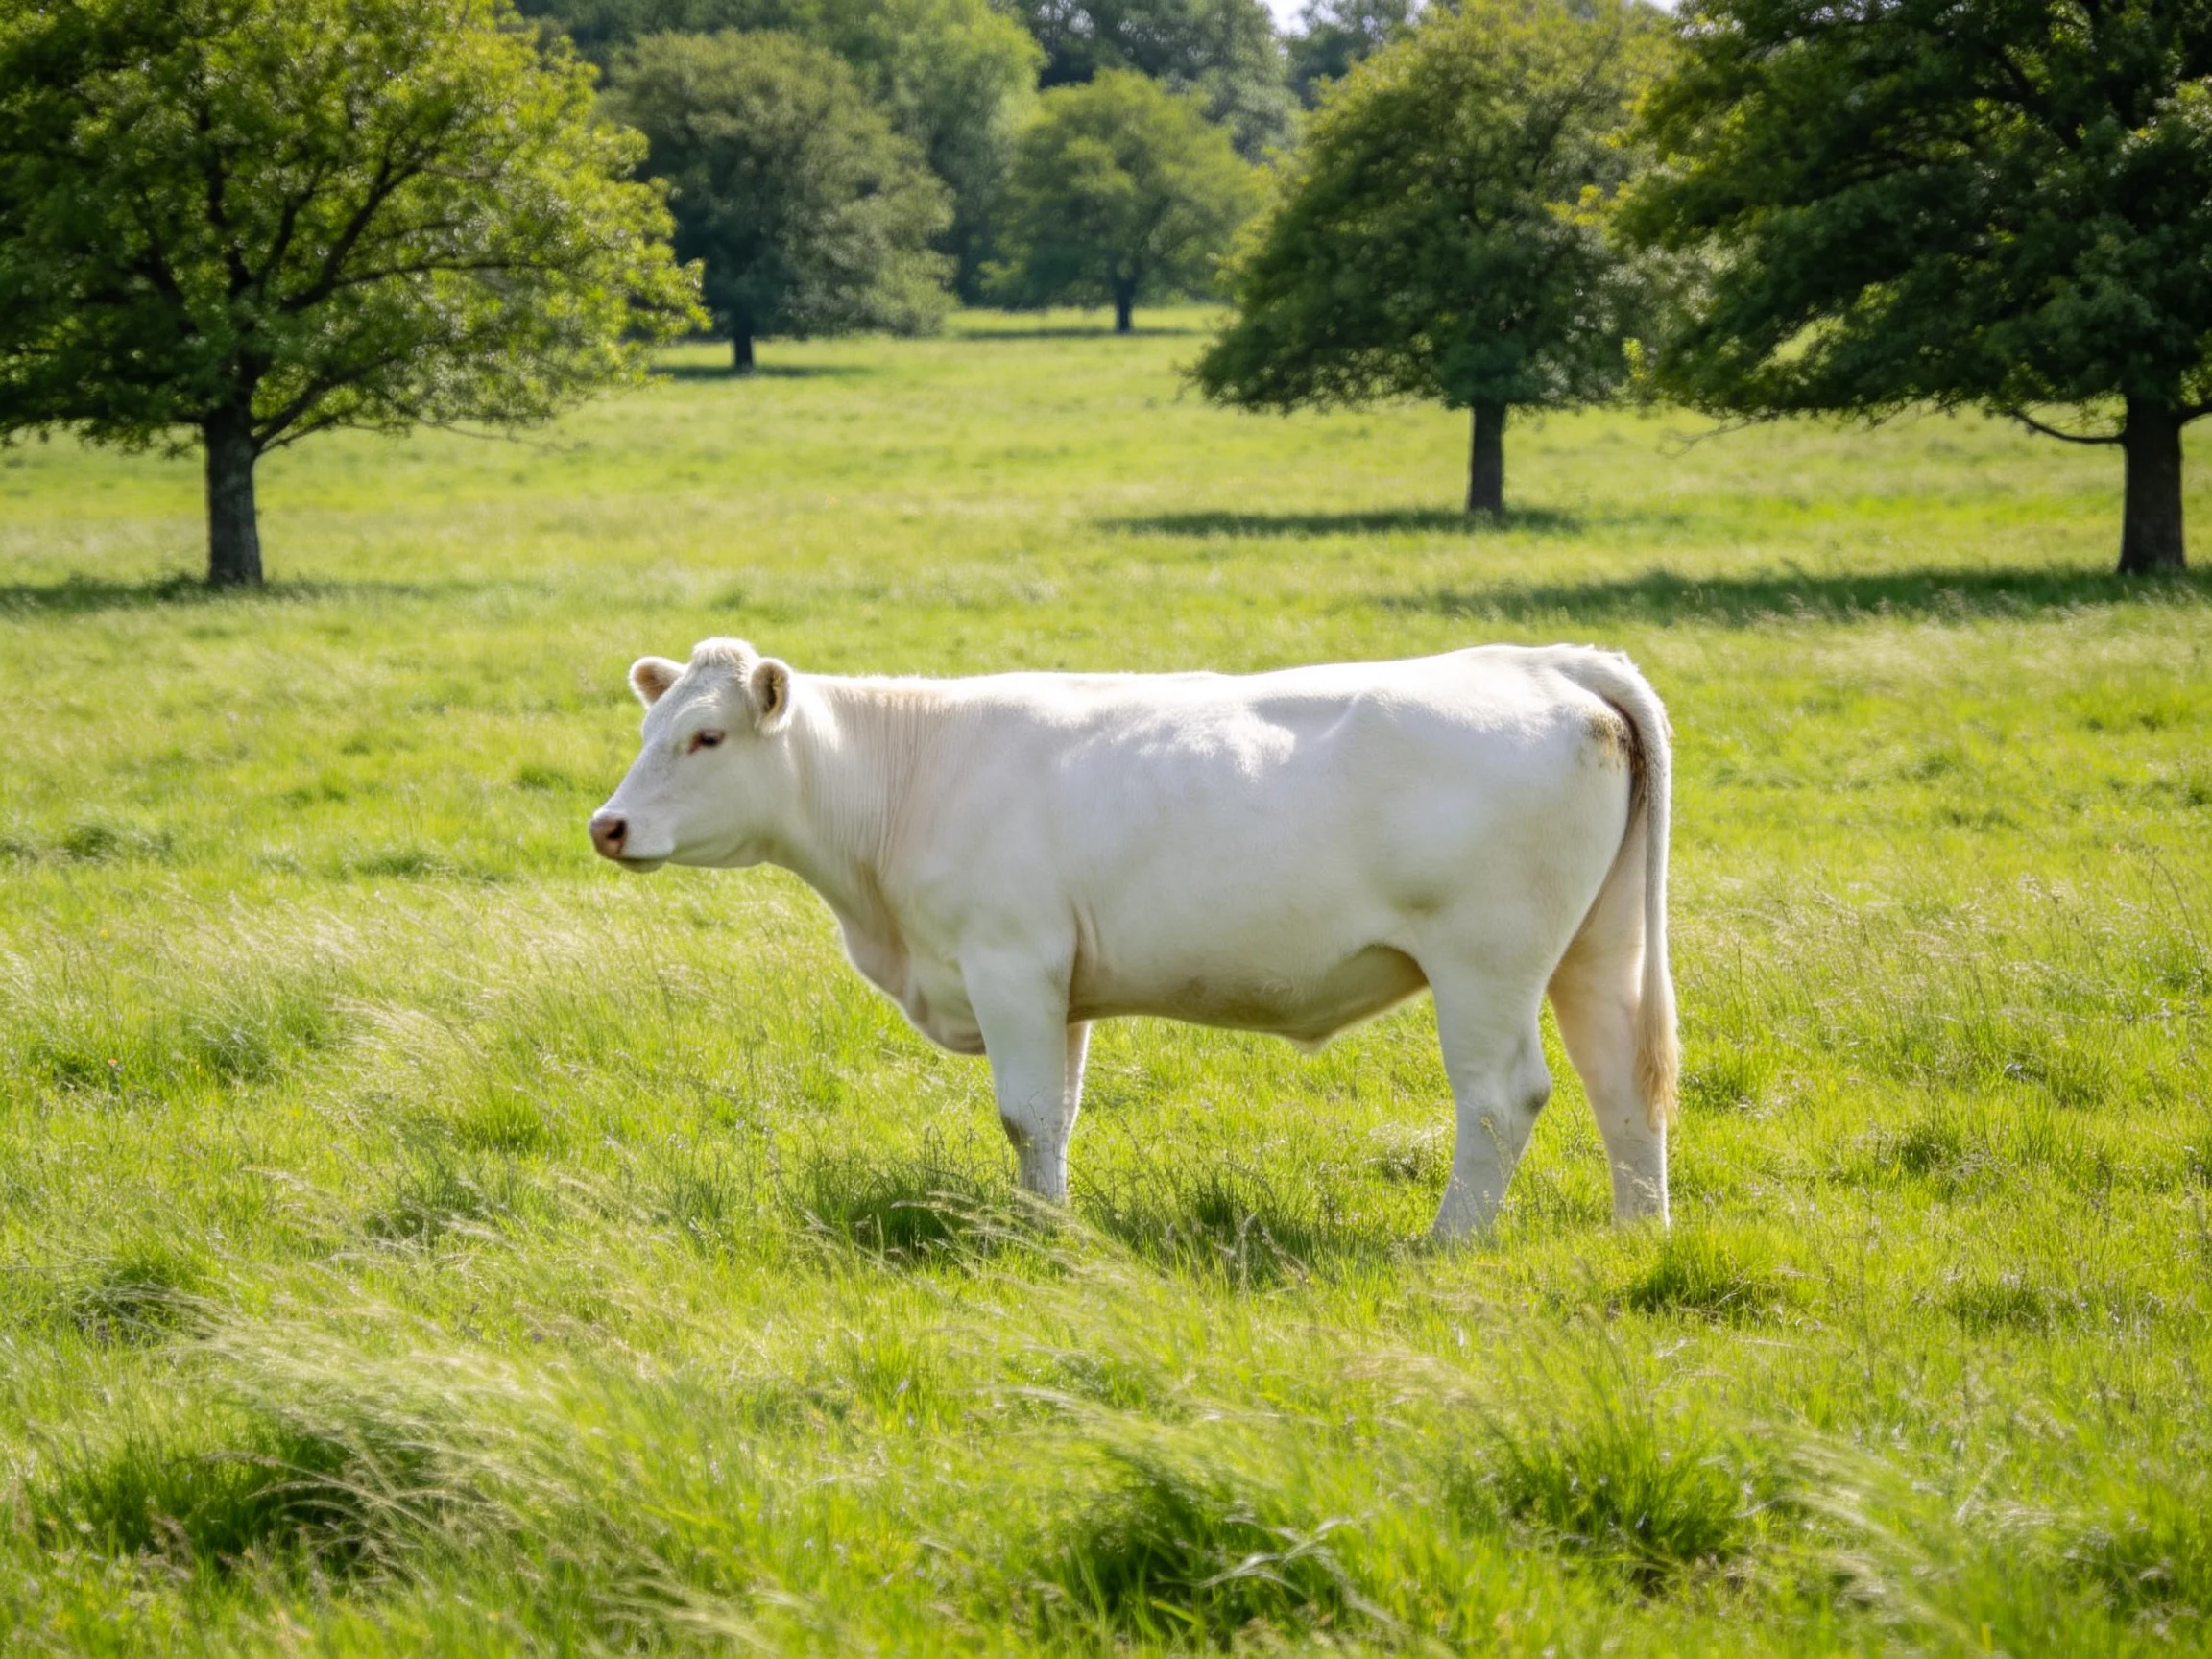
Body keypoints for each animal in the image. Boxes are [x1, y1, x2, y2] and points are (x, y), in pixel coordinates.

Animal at [589, 640, 1677, 1238]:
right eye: (647, 730)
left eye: (707, 737)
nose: (609, 825)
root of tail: (1542, 663)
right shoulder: (1058, 985)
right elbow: (1059, 1115)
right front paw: (1049, 1220)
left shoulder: (1009, 960)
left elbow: (1026, 1114)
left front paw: (1040, 1240)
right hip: (1598, 948)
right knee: (1622, 1077)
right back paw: (1637, 1233)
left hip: (1485, 962)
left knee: (1500, 1099)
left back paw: (1447, 1241)